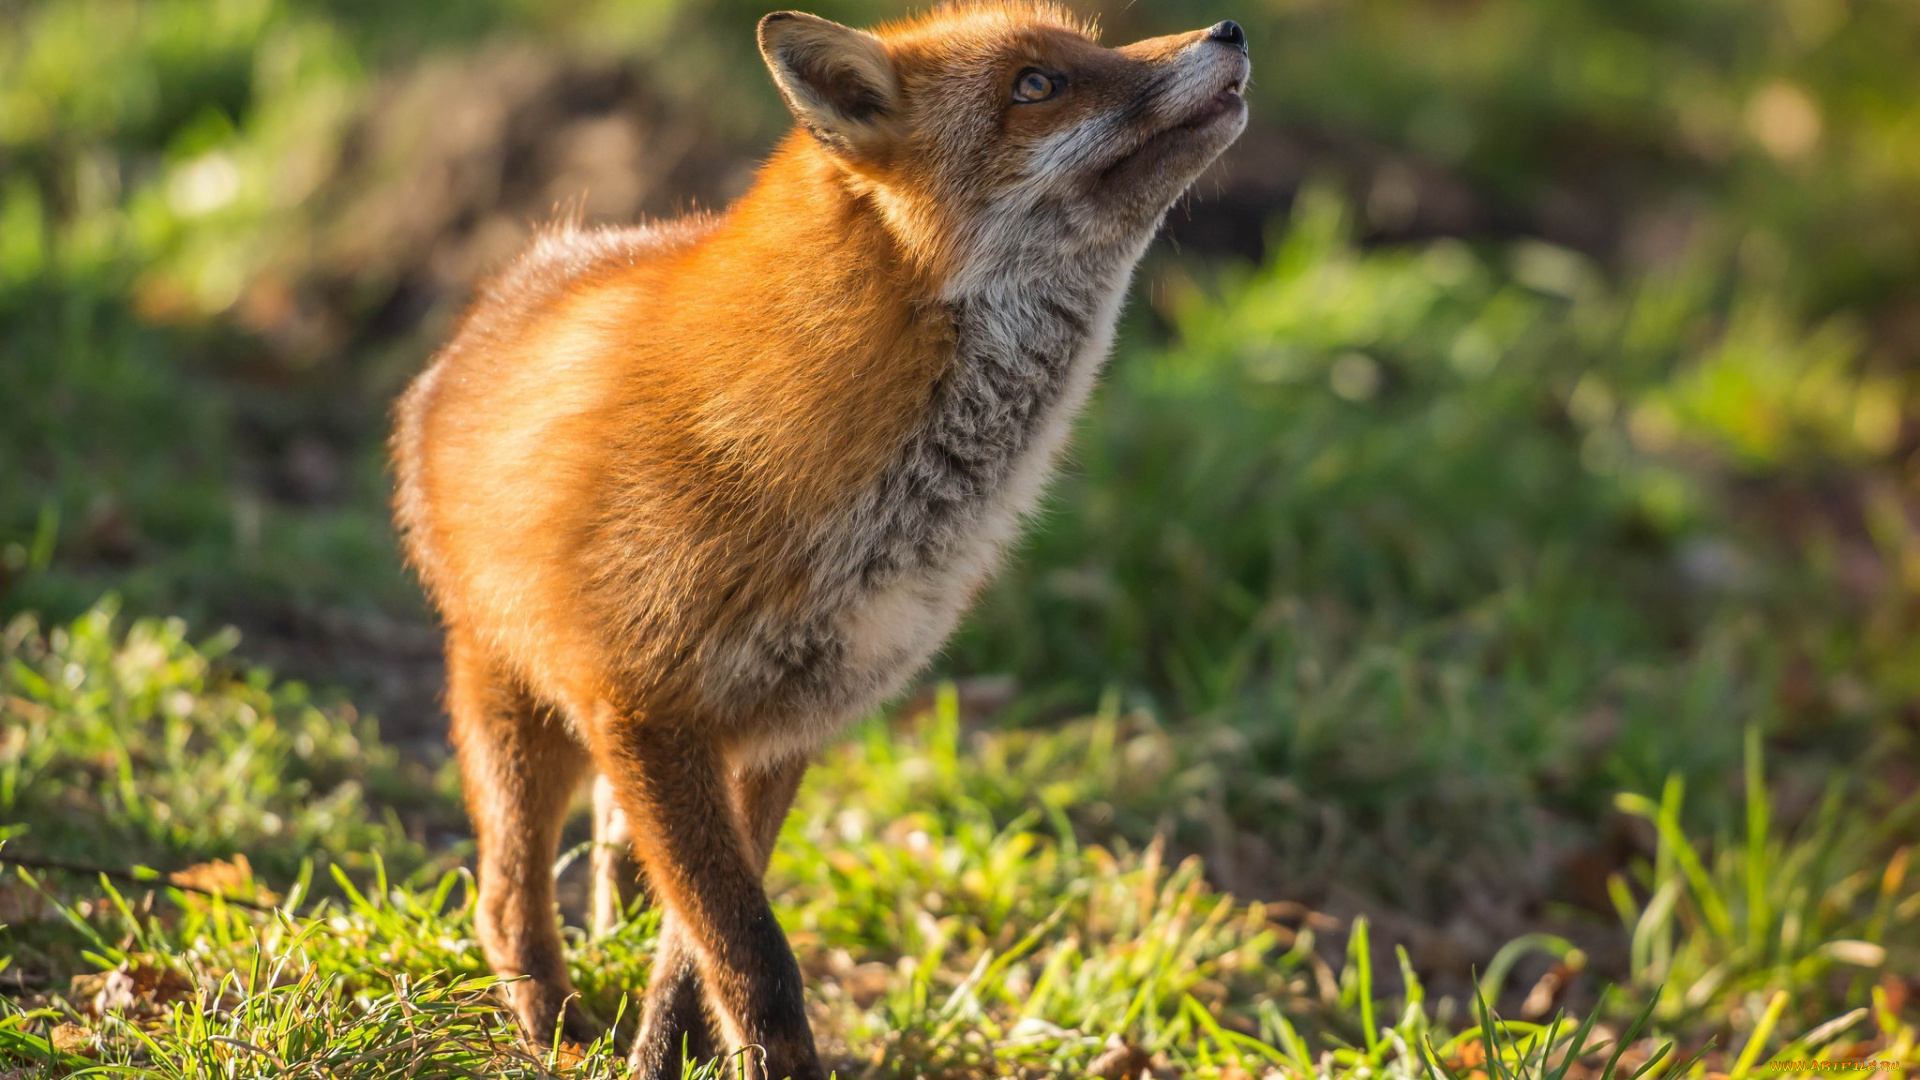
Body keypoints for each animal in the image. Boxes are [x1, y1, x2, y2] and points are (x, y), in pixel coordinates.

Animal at [390, 3, 1249, 1077]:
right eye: (1037, 86)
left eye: (1088, 48)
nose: (1228, 31)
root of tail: (497, 296)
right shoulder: (646, 707)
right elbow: (748, 946)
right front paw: (725, 1058)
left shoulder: (782, 726)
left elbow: (698, 948)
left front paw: (680, 1047)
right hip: (514, 699)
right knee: (504, 896)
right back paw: (552, 1026)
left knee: (616, 857)